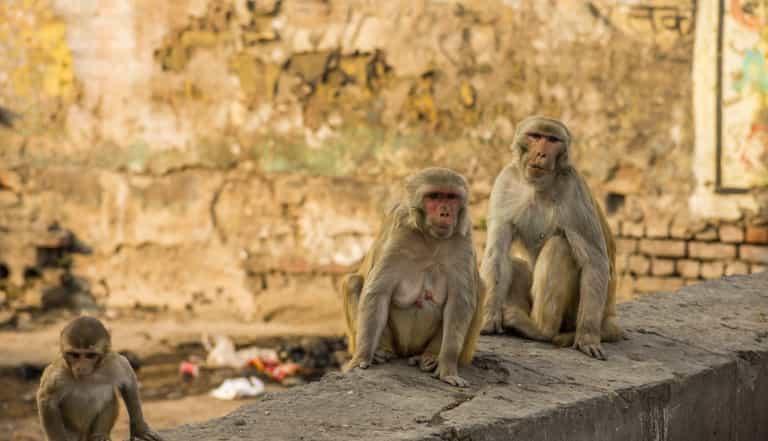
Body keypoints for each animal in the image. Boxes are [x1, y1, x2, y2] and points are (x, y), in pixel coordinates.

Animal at [36, 316, 165, 441]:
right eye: (74, 355)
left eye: (91, 355)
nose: (81, 367)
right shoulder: (58, 374)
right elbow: (47, 400)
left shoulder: (112, 363)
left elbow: (129, 380)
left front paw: (139, 429)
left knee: (110, 398)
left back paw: (100, 435)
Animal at [342, 167, 484, 387]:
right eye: (434, 196)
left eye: (451, 197)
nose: (445, 212)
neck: (431, 238)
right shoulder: (399, 234)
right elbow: (378, 293)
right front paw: (361, 358)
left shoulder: (464, 237)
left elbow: (459, 302)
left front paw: (448, 367)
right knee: (353, 282)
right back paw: (381, 350)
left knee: (481, 289)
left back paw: (430, 356)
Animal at [479, 116, 623, 360]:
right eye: (535, 136)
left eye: (552, 140)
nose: (541, 153)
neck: (539, 187)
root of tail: (610, 316)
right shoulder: (505, 182)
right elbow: (497, 253)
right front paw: (489, 317)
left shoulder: (574, 190)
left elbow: (594, 261)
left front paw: (587, 337)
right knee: (515, 262)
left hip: (576, 312)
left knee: (560, 245)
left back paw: (540, 329)